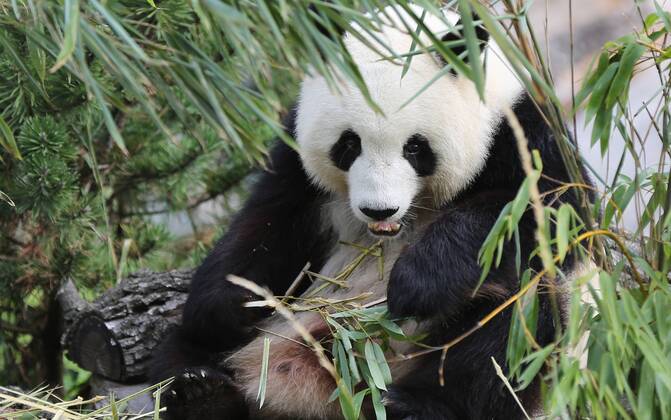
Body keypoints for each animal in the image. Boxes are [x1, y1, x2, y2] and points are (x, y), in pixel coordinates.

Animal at [150, 4, 590, 420]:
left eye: (415, 147)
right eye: (349, 144)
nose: (380, 209)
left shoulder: (522, 135)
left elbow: (543, 216)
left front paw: (416, 283)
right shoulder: (297, 164)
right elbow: (267, 225)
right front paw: (232, 304)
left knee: (516, 317)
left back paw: (414, 405)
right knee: (178, 351)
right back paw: (201, 393)